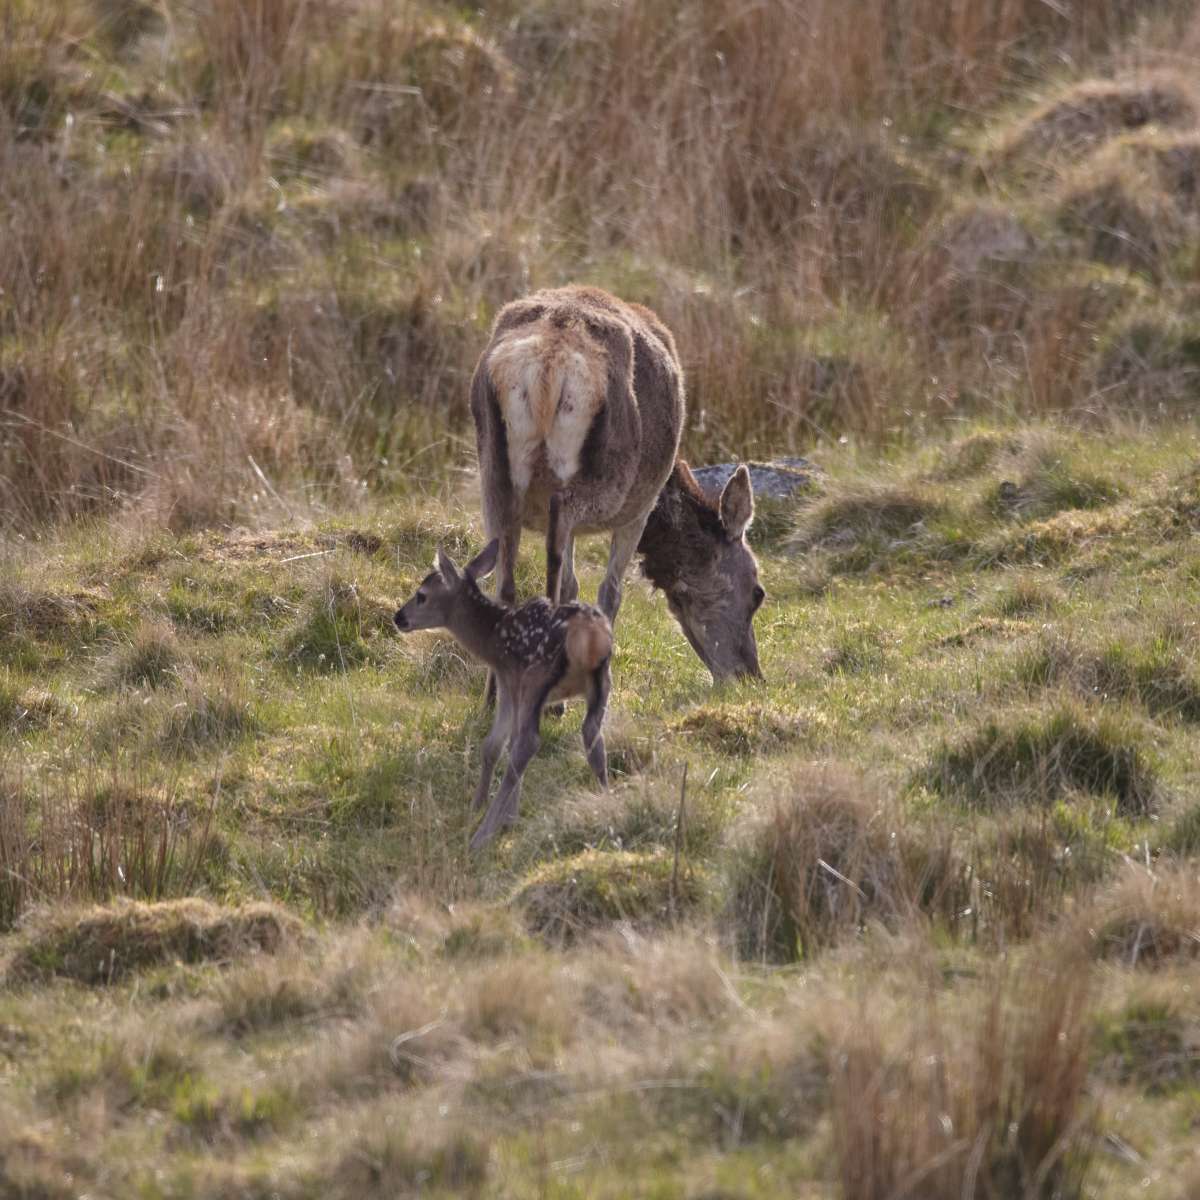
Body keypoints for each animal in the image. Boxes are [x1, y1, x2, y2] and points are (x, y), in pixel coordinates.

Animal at [393, 529, 613, 851]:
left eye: (421, 595)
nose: (398, 617)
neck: (492, 639)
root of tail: (590, 636)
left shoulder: (510, 679)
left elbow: (494, 746)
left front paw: (486, 807)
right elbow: (504, 745)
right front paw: (506, 811)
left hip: (536, 675)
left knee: (528, 744)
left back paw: (480, 837)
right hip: (602, 683)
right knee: (593, 737)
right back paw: (607, 803)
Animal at [471, 284, 764, 685]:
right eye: (757, 592)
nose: (750, 674)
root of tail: (548, 363)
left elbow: (575, 583)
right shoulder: (639, 508)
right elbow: (610, 591)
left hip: (492, 475)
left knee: (505, 579)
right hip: (600, 482)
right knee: (557, 556)